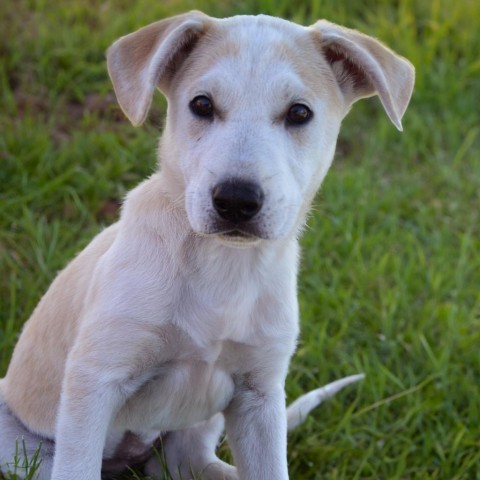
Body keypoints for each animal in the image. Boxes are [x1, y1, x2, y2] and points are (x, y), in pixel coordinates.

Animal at [0, 11, 412, 480]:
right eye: (201, 105)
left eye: (299, 113)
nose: (235, 200)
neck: (223, 264)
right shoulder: (96, 379)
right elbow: (78, 465)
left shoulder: (259, 396)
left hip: (191, 442)